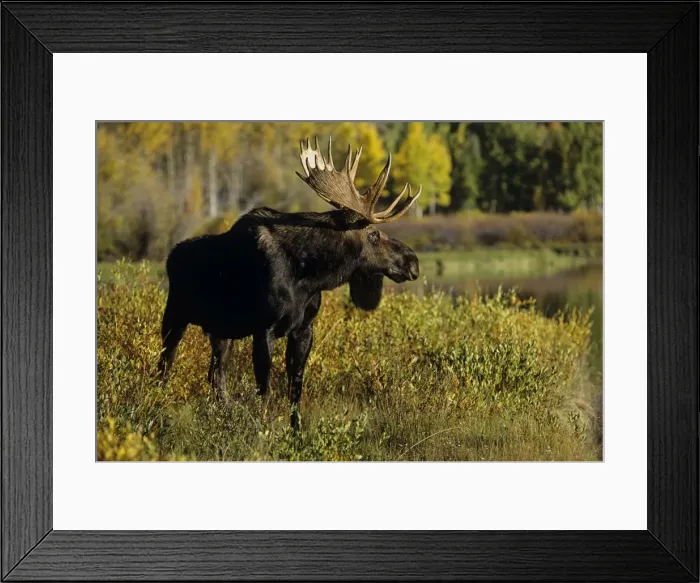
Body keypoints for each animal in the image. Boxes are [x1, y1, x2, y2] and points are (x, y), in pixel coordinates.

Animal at [159, 137, 422, 428]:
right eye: (373, 235)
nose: (412, 262)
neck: (310, 278)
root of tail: (171, 256)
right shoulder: (264, 329)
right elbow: (265, 390)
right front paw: (263, 429)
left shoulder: (304, 329)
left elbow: (295, 389)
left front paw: (296, 431)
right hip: (175, 316)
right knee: (165, 366)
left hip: (221, 332)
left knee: (216, 376)